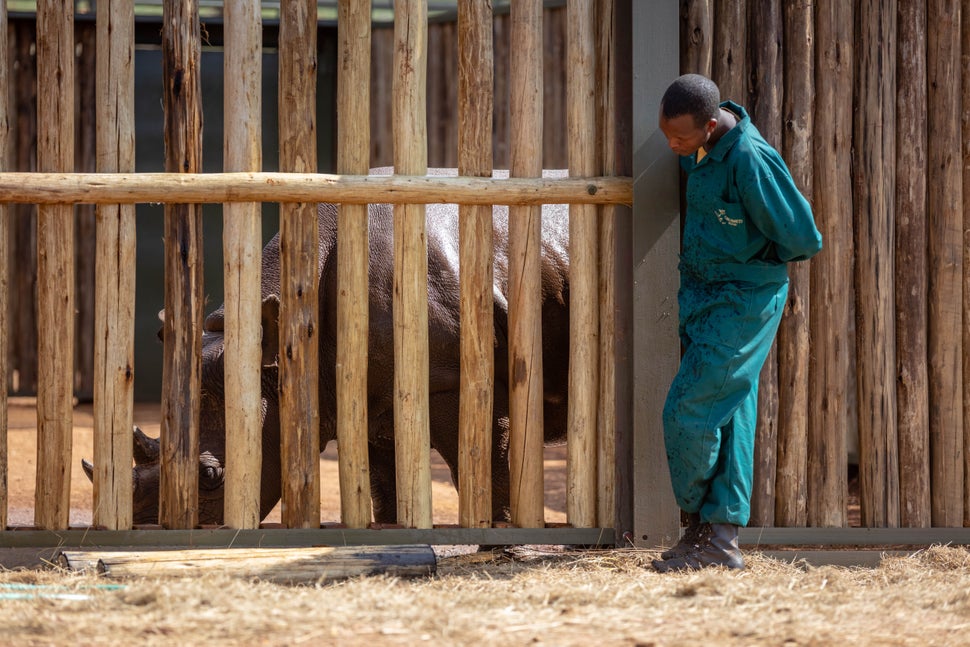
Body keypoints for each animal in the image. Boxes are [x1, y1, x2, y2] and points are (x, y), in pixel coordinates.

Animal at [87, 171, 572, 528]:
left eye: (210, 477)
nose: (150, 530)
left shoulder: (453, 378)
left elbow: (489, 469)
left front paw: (501, 532)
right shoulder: (376, 404)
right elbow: (385, 487)